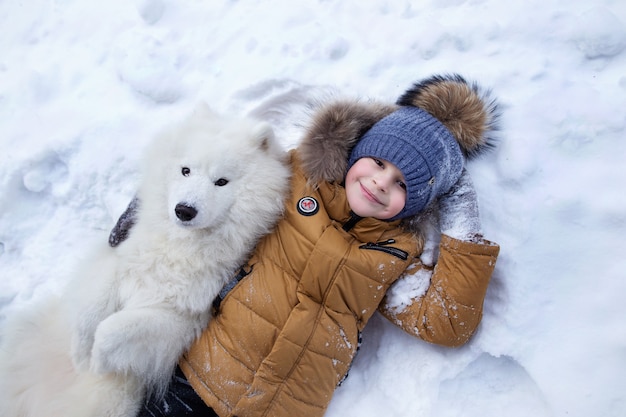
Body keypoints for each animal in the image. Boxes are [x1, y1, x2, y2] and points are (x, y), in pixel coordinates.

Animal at [0, 105, 292, 417]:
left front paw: (97, 359)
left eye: (221, 181)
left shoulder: (183, 318)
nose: (184, 210)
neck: (178, 245)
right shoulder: (119, 256)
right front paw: (81, 354)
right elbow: (92, 309)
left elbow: (115, 328)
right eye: (185, 170)